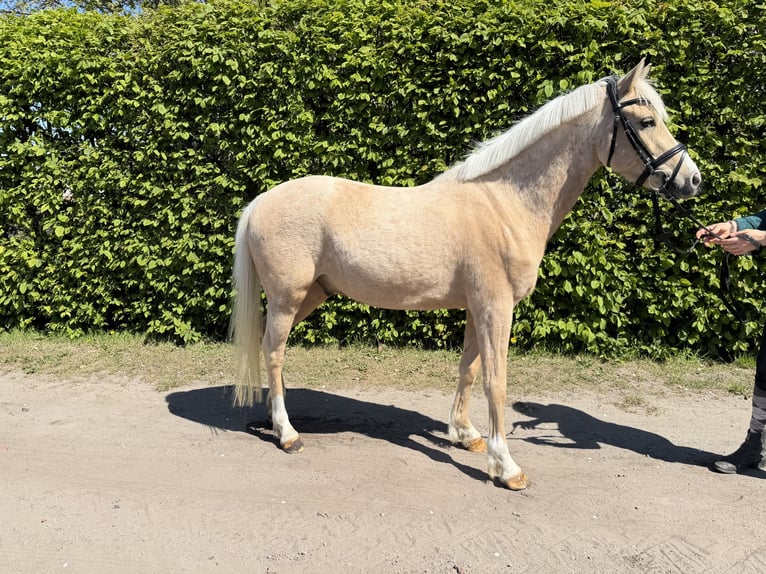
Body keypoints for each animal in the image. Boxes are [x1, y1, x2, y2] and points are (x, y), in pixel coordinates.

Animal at [230, 60, 702, 490]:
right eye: (646, 121)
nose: (692, 181)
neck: (504, 203)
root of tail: (260, 202)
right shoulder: (497, 308)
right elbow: (497, 381)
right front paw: (507, 467)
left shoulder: (479, 308)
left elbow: (470, 370)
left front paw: (465, 435)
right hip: (289, 296)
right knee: (274, 350)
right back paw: (288, 433)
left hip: (311, 295)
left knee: (270, 344)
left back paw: (275, 417)